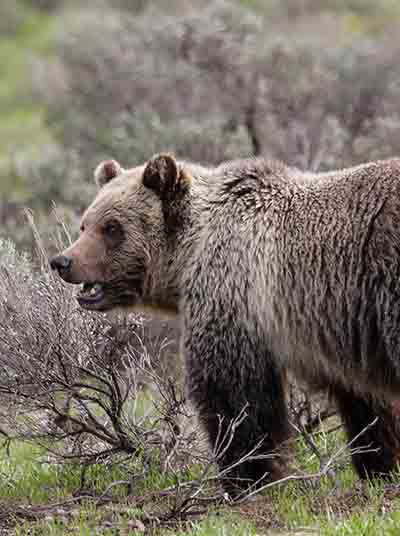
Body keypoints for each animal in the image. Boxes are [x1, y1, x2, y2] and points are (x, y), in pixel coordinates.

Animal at [50, 153, 400, 496]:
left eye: (112, 227)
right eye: (85, 223)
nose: (63, 261)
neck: (188, 254)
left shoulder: (234, 294)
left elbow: (232, 394)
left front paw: (246, 477)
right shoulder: (346, 333)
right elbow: (368, 405)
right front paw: (380, 466)